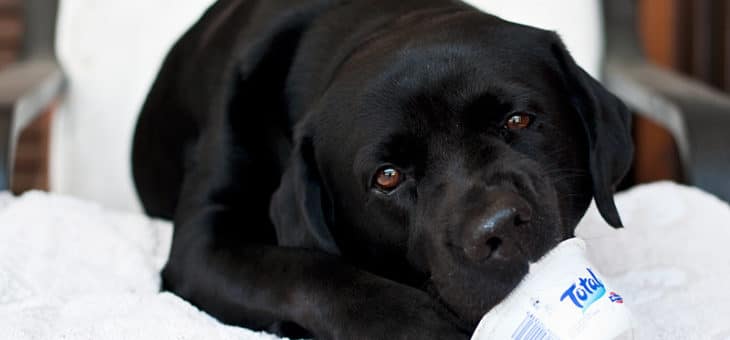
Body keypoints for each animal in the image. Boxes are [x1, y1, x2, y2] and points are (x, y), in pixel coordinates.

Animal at [132, 0, 632, 338]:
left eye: (517, 121)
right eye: (387, 177)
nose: (500, 227)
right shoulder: (200, 245)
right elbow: (303, 269)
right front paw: (418, 326)